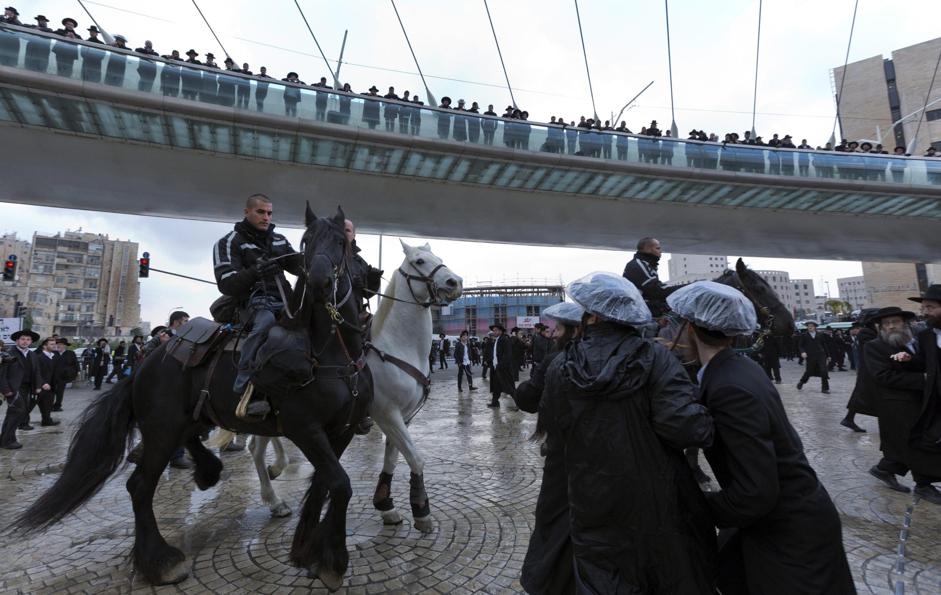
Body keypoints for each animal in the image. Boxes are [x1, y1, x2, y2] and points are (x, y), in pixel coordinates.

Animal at [9, 205, 370, 592]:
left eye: (342, 242)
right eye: (306, 243)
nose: (319, 283)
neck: (330, 351)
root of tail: (146, 364)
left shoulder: (342, 431)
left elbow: (325, 486)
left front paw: (309, 552)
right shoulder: (304, 428)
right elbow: (340, 484)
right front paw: (332, 559)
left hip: (189, 417)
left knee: (190, 441)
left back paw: (208, 471)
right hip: (162, 427)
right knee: (140, 486)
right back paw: (160, 562)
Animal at [238, 241, 464, 532]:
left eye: (439, 256)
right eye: (420, 261)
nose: (455, 282)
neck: (397, 346)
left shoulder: (404, 416)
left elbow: (393, 457)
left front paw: (385, 505)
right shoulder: (387, 413)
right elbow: (415, 457)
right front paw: (421, 511)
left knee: (257, 446)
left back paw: (275, 485)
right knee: (256, 448)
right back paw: (274, 495)